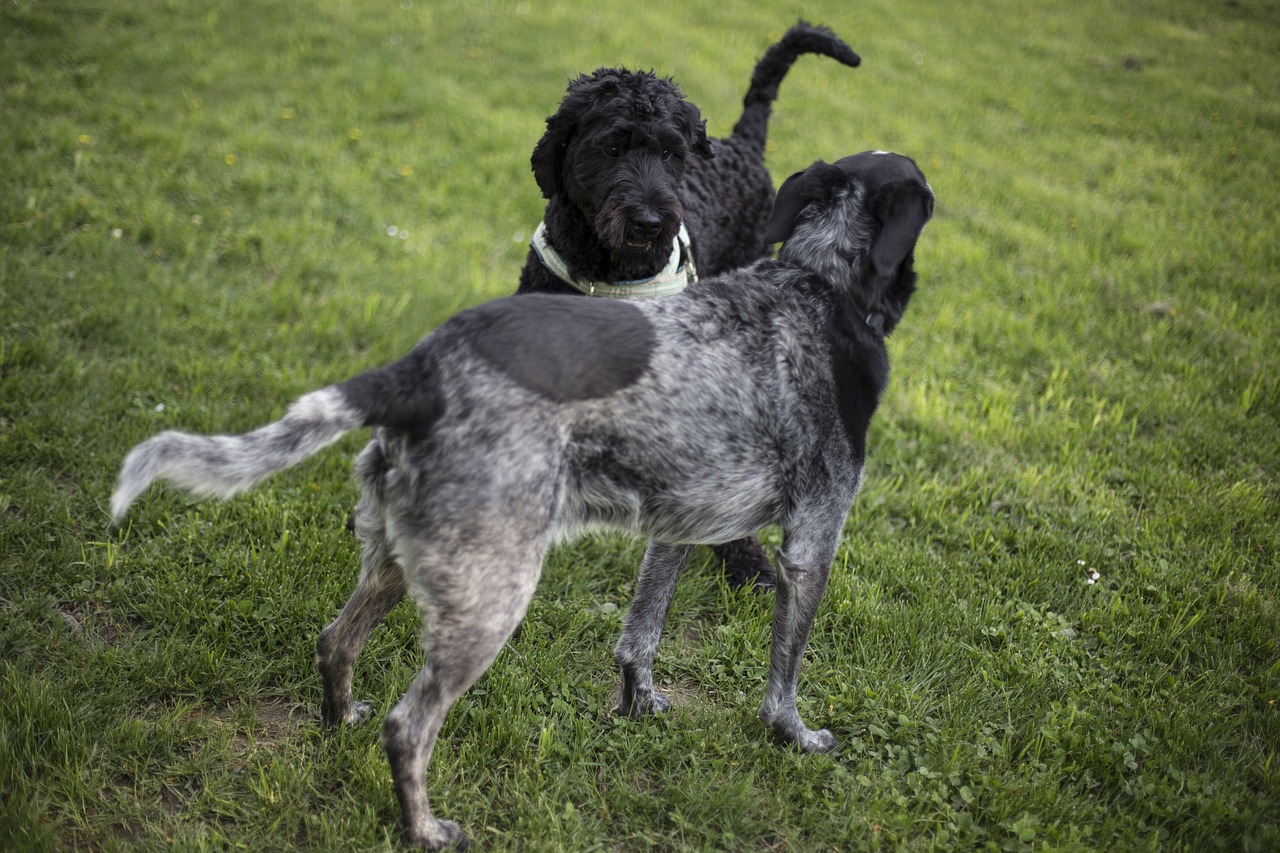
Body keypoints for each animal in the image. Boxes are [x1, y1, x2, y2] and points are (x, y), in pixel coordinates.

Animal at [112, 151, 931, 845]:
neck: (820, 284)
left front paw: (639, 707)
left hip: (406, 560)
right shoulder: (812, 542)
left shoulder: (680, 524)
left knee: (334, 642)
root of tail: (416, 370)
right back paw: (424, 830)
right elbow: (782, 679)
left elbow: (641, 636)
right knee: (408, 726)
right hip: (494, 593)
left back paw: (339, 720)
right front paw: (796, 738)